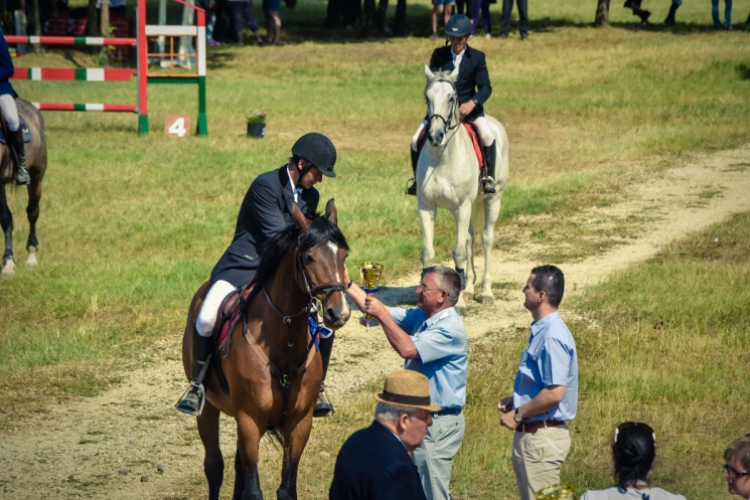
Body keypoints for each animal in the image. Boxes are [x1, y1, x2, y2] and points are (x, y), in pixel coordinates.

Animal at [184, 197, 354, 498]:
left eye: (343, 255)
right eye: (309, 257)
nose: (339, 313)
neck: (284, 341)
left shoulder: (300, 424)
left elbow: (286, 488)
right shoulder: (250, 421)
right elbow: (253, 490)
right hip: (209, 409)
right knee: (214, 466)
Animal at [418, 66, 512, 312]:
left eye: (452, 97)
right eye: (427, 97)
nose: (435, 136)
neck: (442, 158)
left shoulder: (462, 206)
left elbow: (458, 252)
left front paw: (457, 303)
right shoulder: (426, 206)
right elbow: (428, 252)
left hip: (492, 200)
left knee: (486, 238)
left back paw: (486, 292)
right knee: (469, 237)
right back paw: (468, 289)